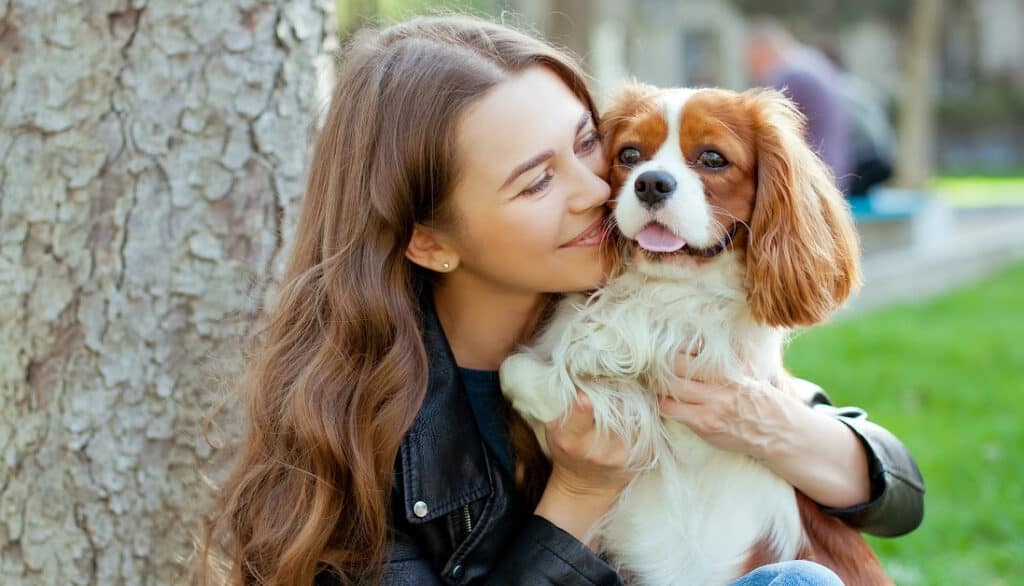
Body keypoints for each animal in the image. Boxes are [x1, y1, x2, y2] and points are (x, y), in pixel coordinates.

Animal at [499, 83, 892, 586]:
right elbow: (515, 367)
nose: (651, 183)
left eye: (712, 158)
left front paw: (613, 379)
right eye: (629, 154)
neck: (663, 290)